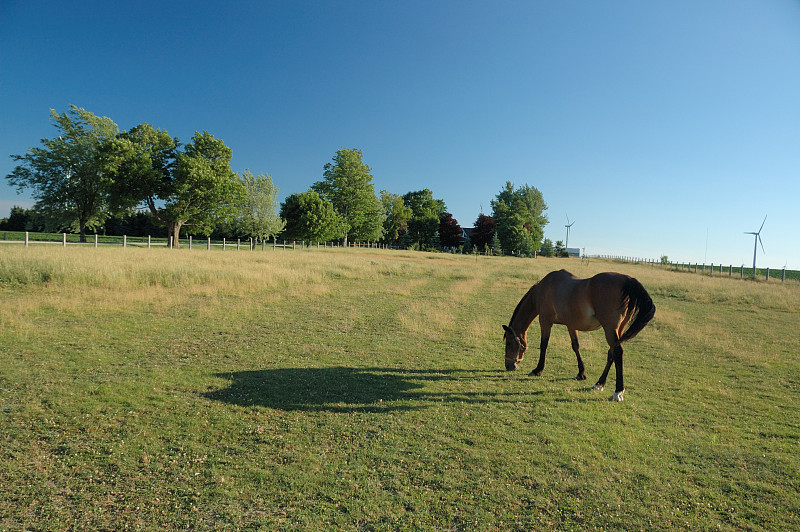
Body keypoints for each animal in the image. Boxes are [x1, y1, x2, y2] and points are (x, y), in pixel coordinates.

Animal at [504, 270, 652, 404]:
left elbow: (544, 345)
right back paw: (599, 383)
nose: (509, 366)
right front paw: (581, 373)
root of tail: (629, 280)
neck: (544, 289)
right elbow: (575, 346)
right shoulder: (571, 325)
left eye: (509, 343)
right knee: (611, 353)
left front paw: (538, 370)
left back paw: (618, 392)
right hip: (618, 330)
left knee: (617, 352)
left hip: (610, 329)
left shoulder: (545, 321)